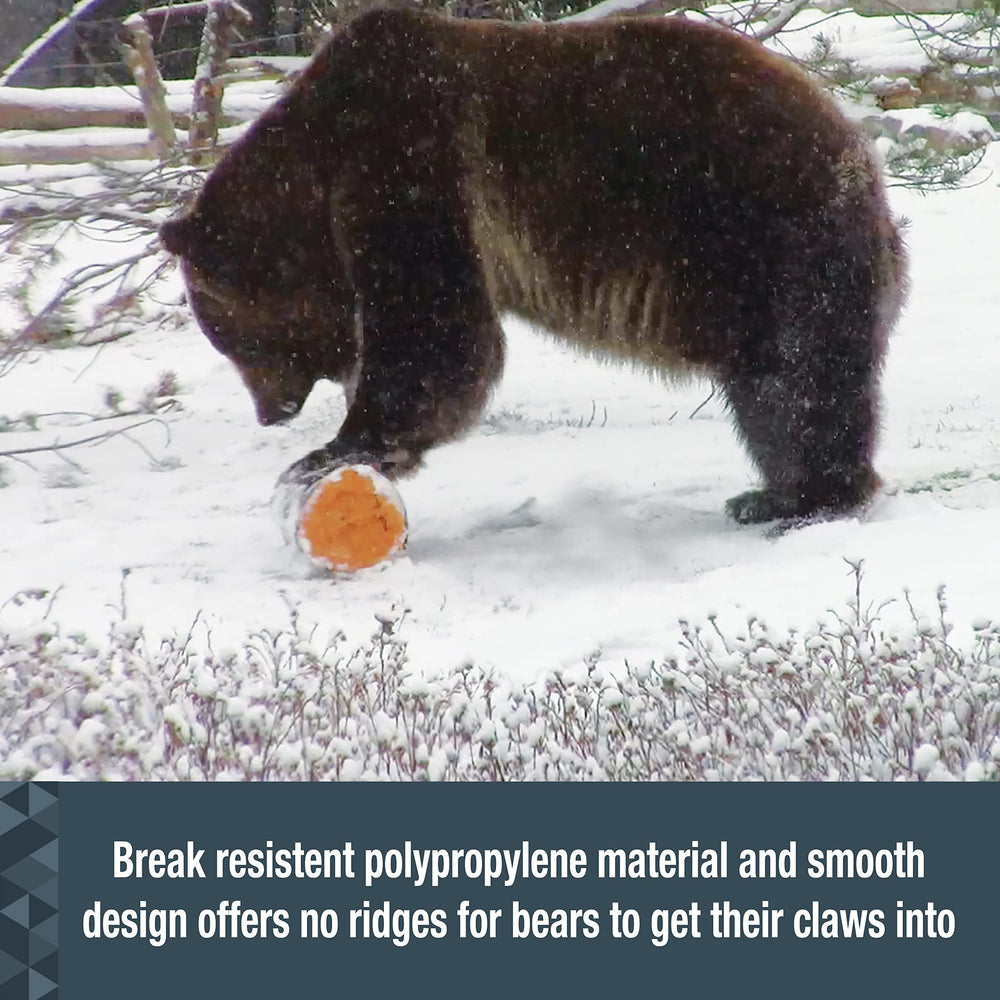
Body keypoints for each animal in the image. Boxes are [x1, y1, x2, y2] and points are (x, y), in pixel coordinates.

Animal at [159, 8, 907, 526]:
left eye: (231, 338)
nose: (270, 413)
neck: (312, 173)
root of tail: (855, 145)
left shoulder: (407, 160)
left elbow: (438, 335)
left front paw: (330, 454)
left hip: (765, 233)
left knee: (797, 375)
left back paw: (812, 497)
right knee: (772, 390)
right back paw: (771, 494)